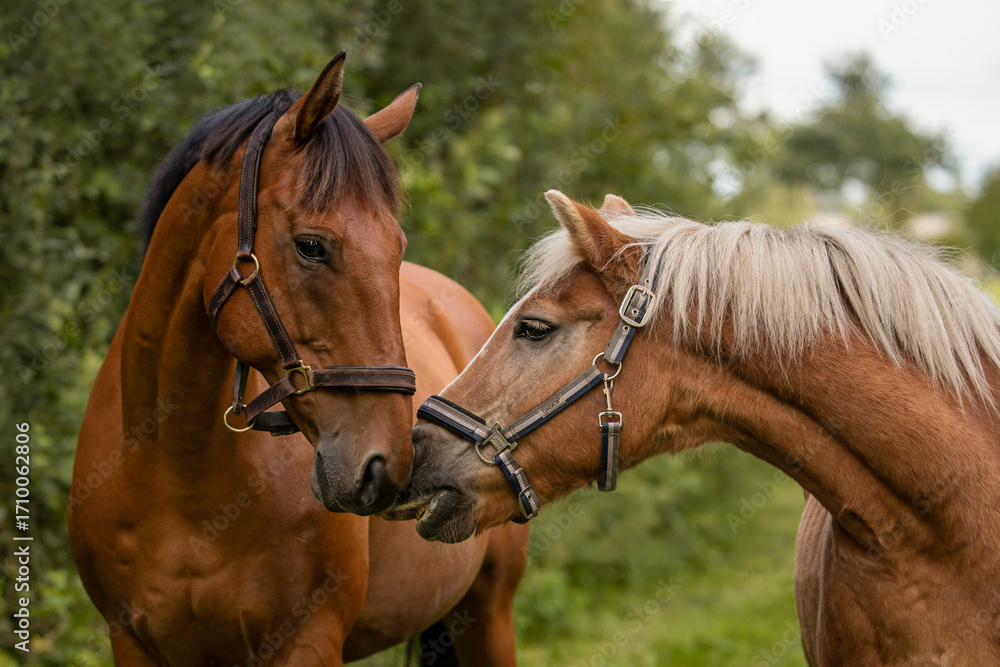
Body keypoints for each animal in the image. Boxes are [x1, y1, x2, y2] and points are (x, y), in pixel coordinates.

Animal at [69, 54, 528, 666]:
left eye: (397, 248)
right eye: (311, 246)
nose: (386, 466)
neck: (177, 474)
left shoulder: (307, 641)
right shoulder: (133, 642)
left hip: (488, 614)